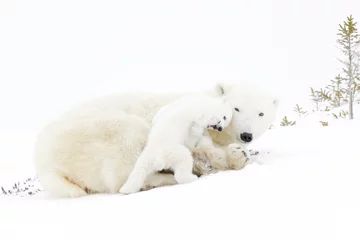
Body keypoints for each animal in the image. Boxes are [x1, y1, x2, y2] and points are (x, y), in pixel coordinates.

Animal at [33, 81, 280, 198]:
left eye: (261, 113)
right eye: (237, 108)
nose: (246, 135)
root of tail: (44, 164)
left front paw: (238, 153)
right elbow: (201, 146)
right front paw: (233, 158)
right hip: (97, 134)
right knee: (125, 161)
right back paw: (169, 178)